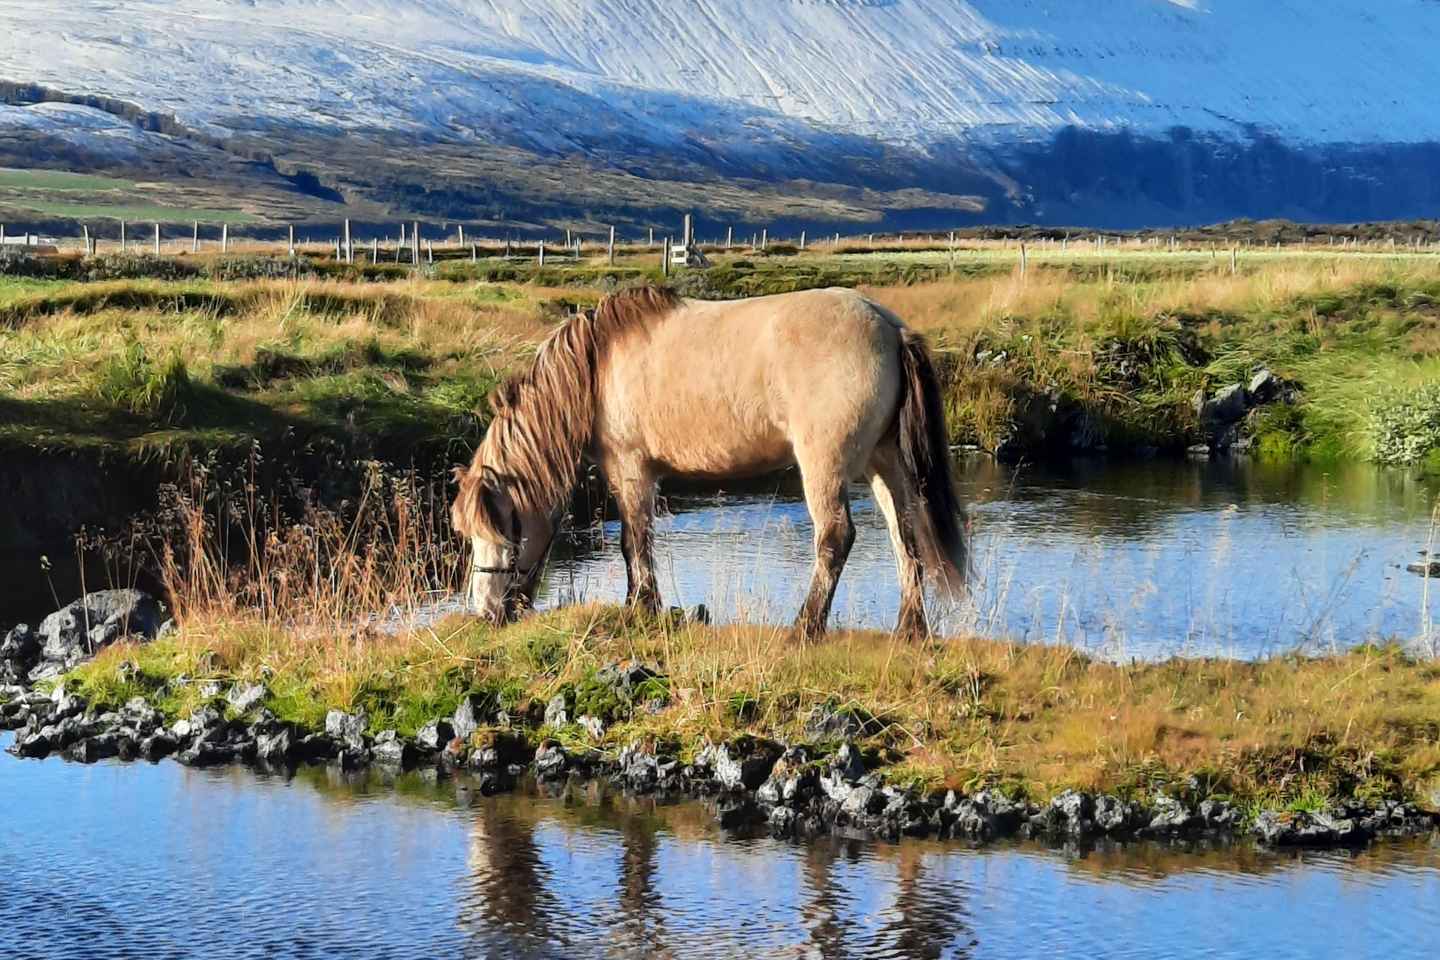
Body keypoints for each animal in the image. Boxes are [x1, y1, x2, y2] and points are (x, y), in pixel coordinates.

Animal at [451, 285, 966, 640]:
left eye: (502, 530)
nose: (485, 611)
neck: (596, 367)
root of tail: (889, 328)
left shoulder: (630, 469)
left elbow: (633, 542)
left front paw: (641, 607)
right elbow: (637, 542)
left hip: (825, 465)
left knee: (835, 538)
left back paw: (804, 627)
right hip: (884, 464)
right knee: (905, 535)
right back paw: (910, 629)